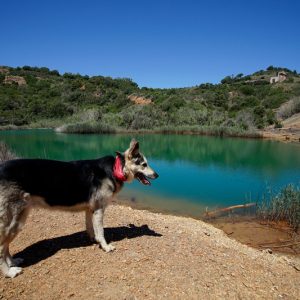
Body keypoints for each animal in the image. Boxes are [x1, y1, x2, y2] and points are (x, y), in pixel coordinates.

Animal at [0, 139, 158, 278]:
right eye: (144, 164)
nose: (156, 175)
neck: (116, 168)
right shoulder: (99, 210)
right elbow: (101, 232)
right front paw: (105, 247)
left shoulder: (90, 209)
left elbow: (91, 228)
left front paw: (94, 240)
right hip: (14, 222)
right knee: (2, 248)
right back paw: (9, 272)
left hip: (17, 220)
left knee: (6, 246)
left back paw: (13, 262)